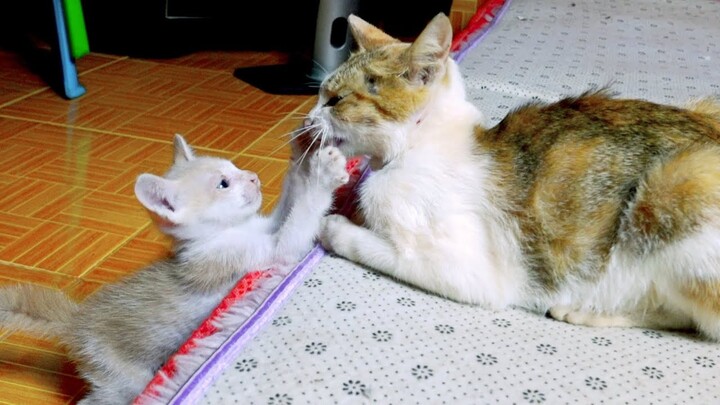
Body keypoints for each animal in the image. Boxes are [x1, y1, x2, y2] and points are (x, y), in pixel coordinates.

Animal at [0, 134, 348, 402]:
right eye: (224, 183)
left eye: (235, 166)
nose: (253, 176)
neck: (224, 233)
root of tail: (75, 321)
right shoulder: (268, 253)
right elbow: (300, 217)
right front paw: (323, 173)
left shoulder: (267, 226)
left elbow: (289, 200)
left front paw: (300, 156)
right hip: (124, 377)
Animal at [308, 13, 720, 338]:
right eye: (322, 95)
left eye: (335, 100)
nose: (308, 117)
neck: (415, 145)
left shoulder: (465, 270)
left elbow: (368, 244)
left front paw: (332, 226)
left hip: (675, 189)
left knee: (692, 319)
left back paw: (584, 309)